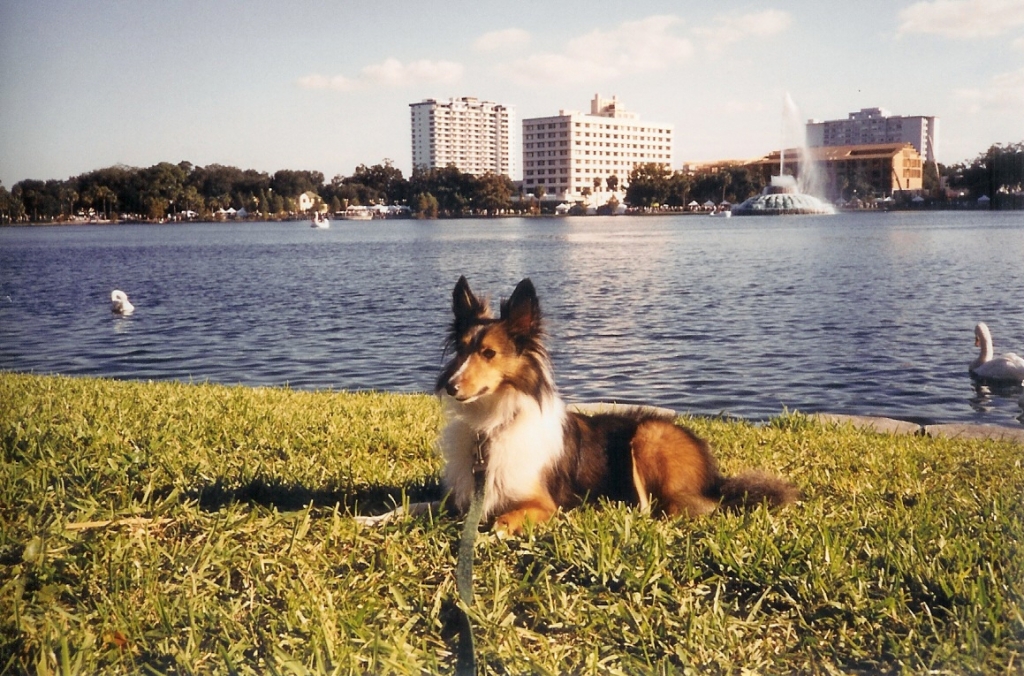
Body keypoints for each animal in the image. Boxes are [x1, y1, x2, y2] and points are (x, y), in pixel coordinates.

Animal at [434, 276, 798, 532]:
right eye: (461, 350)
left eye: (489, 353)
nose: (450, 387)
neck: (492, 421)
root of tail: (712, 472)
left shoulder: (543, 503)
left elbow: (506, 519)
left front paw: (497, 528)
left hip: (649, 436)